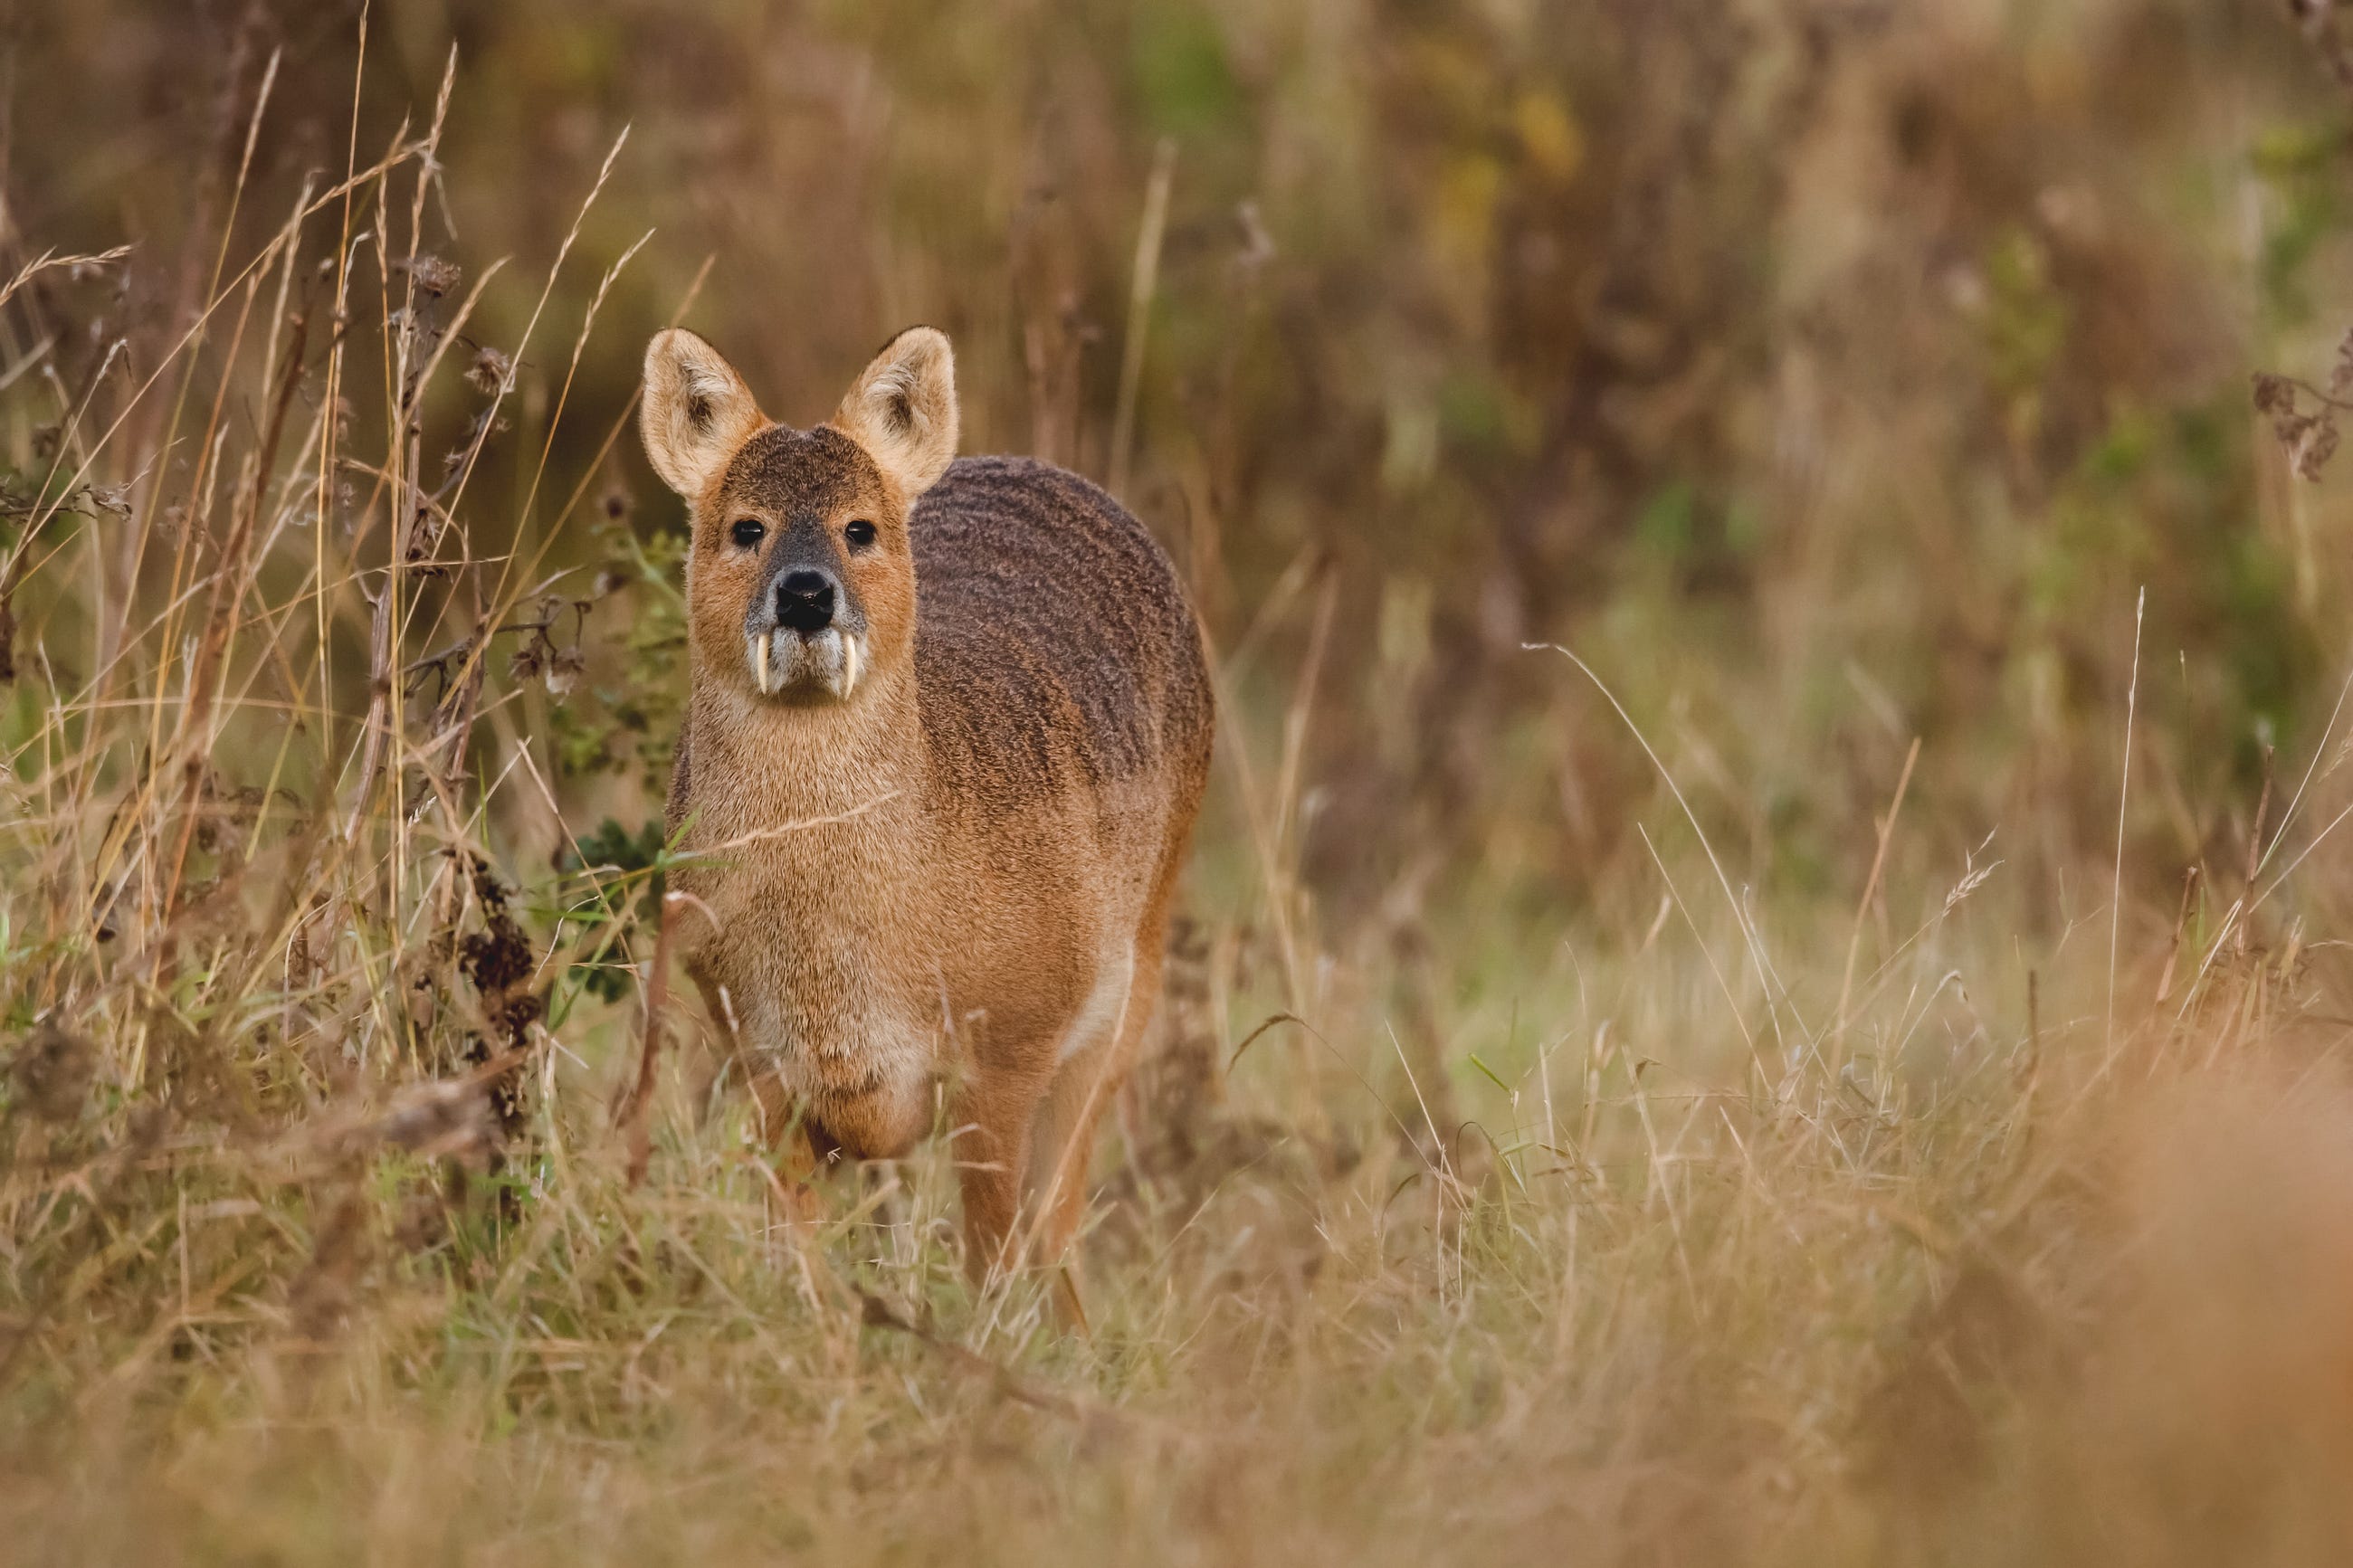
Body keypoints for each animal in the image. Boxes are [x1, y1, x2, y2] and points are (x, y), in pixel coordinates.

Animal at [635, 324, 1214, 1297]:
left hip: (1130, 984)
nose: (805, 593)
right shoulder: (758, 1055)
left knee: (1058, 1226)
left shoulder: (1011, 1047)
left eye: (859, 527)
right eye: (745, 526)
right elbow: (798, 1260)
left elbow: (995, 1254)